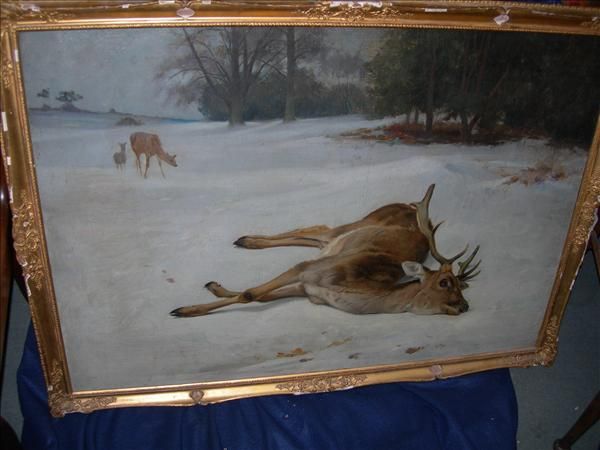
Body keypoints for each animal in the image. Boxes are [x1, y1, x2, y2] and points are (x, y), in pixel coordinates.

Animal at [170, 185, 481, 318]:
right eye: (445, 282)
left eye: (462, 287)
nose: (465, 306)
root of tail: (408, 203)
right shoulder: (306, 270)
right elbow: (251, 294)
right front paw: (184, 310)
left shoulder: (307, 290)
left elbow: (258, 296)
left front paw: (215, 287)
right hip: (356, 224)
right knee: (315, 228)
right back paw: (245, 239)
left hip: (335, 241)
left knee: (313, 234)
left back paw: (246, 241)